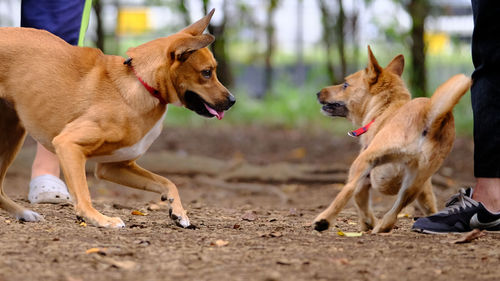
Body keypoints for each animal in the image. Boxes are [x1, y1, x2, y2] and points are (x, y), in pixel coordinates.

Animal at [0, 9, 234, 228]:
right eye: (206, 72)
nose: (232, 100)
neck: (141, 82)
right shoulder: (68, 145)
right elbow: (83, 194)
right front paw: (97, 218)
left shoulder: (113, 167)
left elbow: (168, 182)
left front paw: (178, 212)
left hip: (12, 136)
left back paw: (24, 213)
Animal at [314, 47, 470, 233]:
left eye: (345, 85)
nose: (317, 93)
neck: (385, 110)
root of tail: (429, 113)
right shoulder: (424, 187)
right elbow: (429, 204)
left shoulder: (365, 171)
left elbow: (359, 198)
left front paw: (367, 222)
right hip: (416, 179)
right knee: (396, 210)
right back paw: (382, 226)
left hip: (364, 163)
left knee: (349, 190)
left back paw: (324, 220)